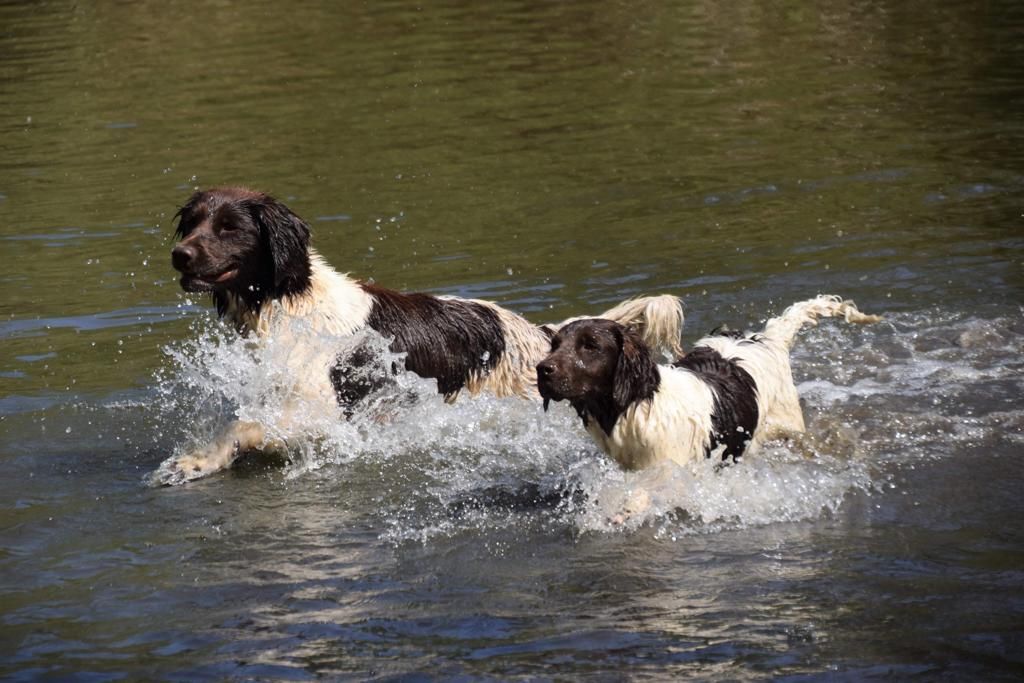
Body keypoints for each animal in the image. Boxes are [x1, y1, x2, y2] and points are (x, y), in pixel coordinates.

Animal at [536, 296, 880, 479]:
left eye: (590, 345)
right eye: (555, 344)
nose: (542, 370)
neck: (637, 406)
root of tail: (766, 340)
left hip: (788, 427)